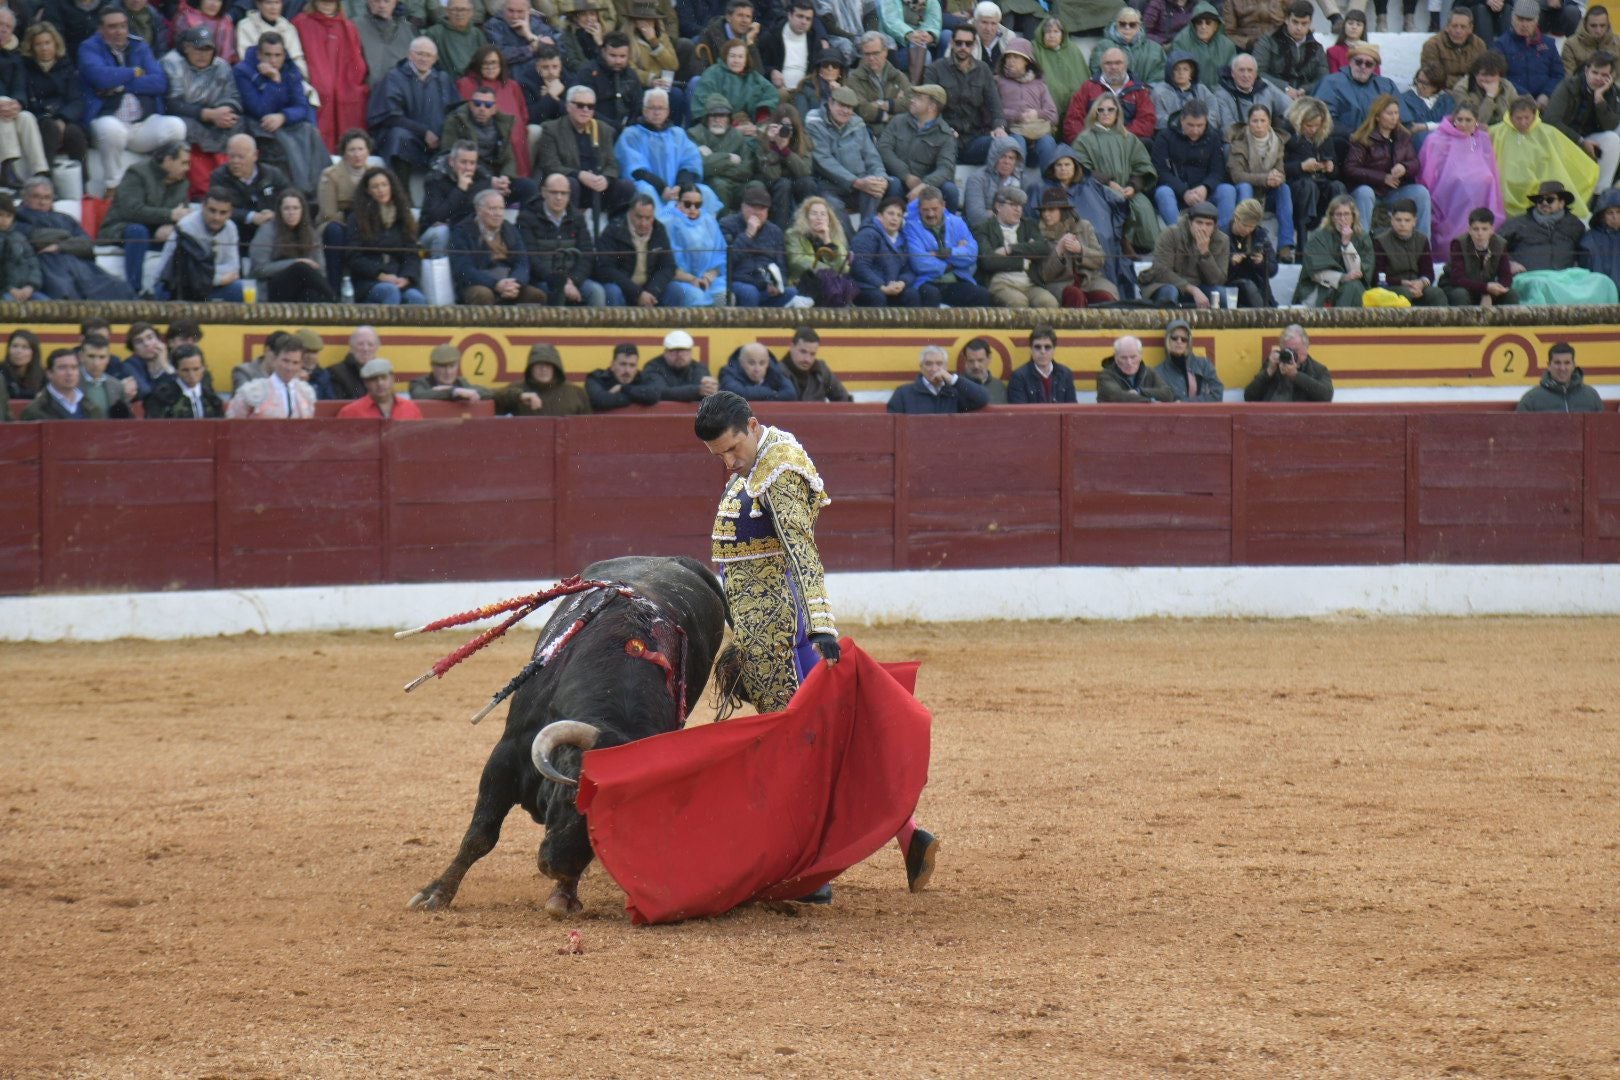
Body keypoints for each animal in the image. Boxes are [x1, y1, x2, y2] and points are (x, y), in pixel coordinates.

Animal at [408, 557, 732, 919]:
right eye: (569, 796)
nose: (558, 866)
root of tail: (671, 560)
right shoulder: (505, 757)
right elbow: (481, 834)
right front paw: (435, 894)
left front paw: (564, 895)